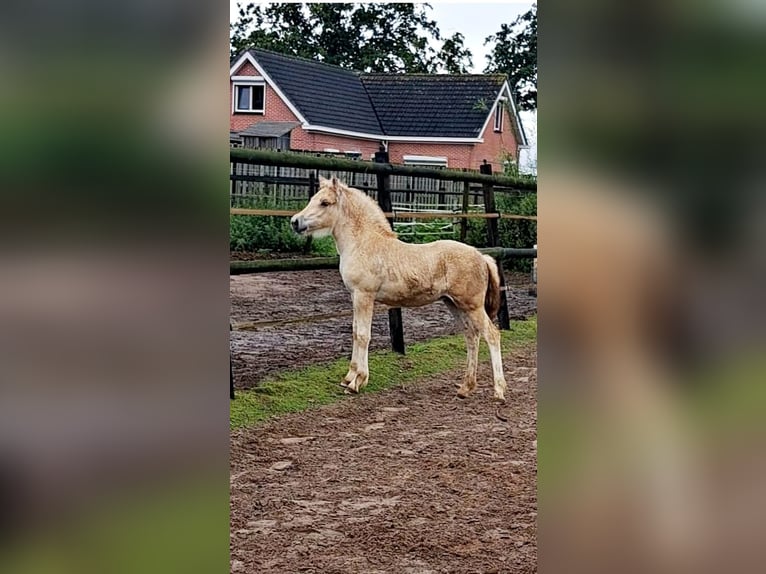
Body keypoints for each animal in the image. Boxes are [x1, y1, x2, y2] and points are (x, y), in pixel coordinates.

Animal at [291, 176, 507, 401]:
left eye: (325, 202)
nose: (295, 222)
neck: (364, 243)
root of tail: (481, 256)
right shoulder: (354, 297)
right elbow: (355, 332)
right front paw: (348, 377)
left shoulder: (364, 296)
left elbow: (363, 335)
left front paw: (357, 382)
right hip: (454, 304)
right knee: (472, 336)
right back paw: (465, 387)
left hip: (472, 306)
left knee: (492, 335)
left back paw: (499, 390)